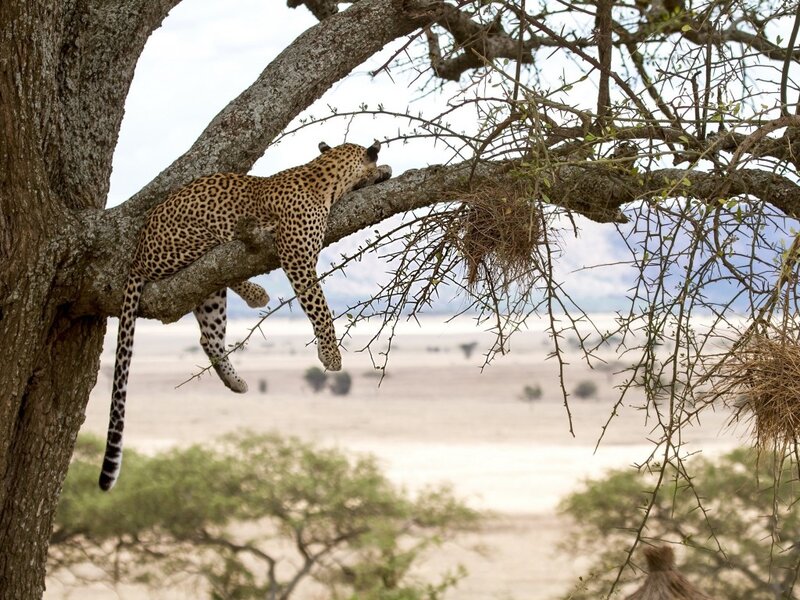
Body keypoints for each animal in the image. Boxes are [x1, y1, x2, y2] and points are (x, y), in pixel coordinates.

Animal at [100, 141, 392, 491]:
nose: (384, 169)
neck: (320, 174)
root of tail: (137, 254)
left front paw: (384, 171)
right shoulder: (297, 259)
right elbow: (318, 306)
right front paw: (331, 354)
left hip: (208, 294)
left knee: (209, 334)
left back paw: (235, 382)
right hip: (198, 238)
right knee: (221, 261)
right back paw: (256, 295)